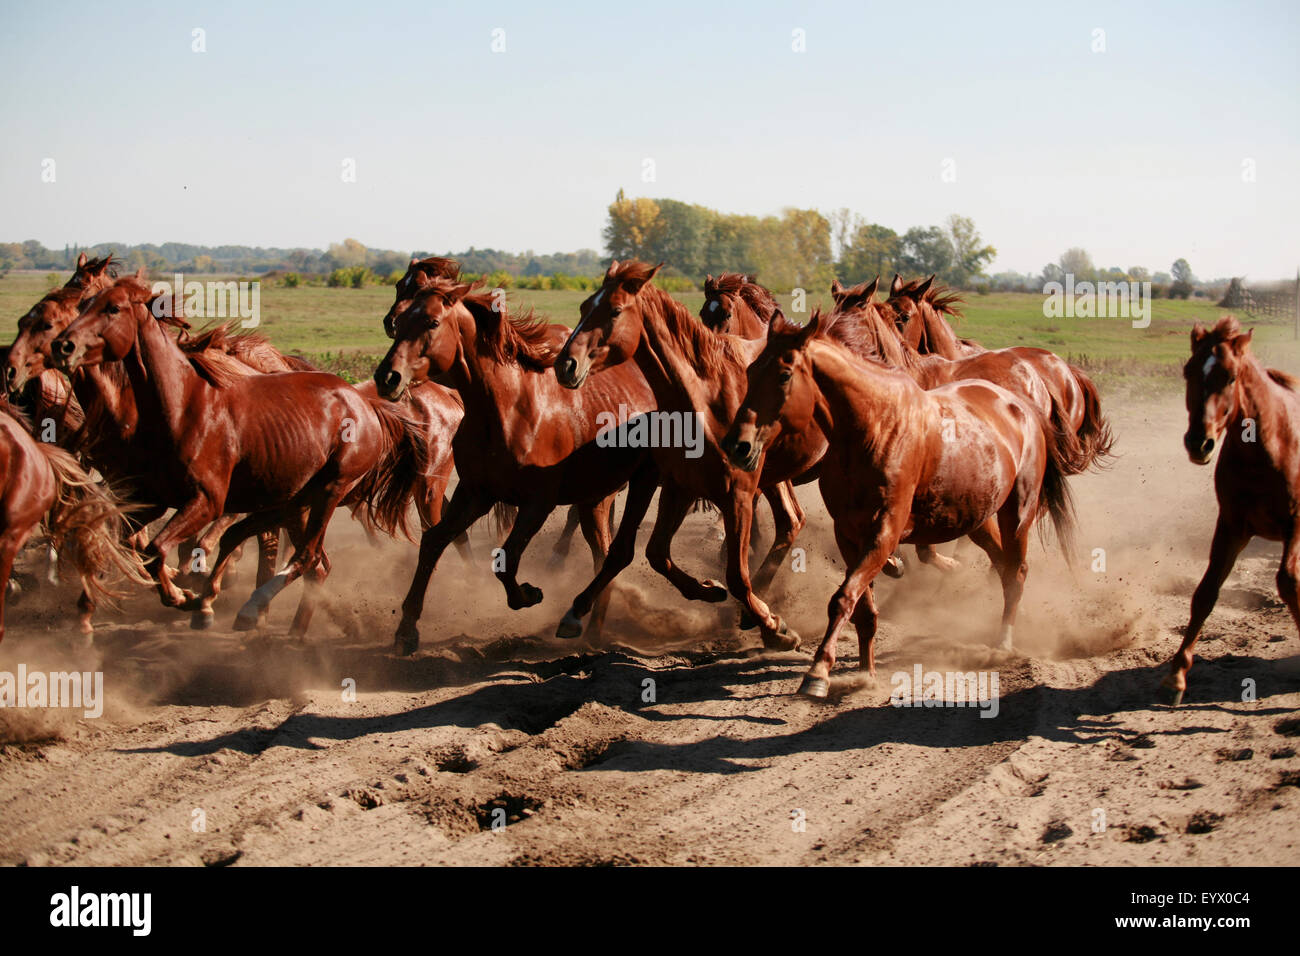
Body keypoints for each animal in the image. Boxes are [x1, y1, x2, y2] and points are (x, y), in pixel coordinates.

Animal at [50, 277, 426, 634]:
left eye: (113, 308)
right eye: (84, 304)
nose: (62, 345)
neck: (181, 406)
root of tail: (368, 406)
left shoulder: (206, 501)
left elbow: (155, 549)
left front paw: (185, 598)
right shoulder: (151, 498)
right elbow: (134, 544)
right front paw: (187, 595)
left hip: (330, 491)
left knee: (305, 557)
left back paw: (249, 609)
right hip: (294, 502)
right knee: (310, 562)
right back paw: (287, 630)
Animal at [377, 273, 660, 655]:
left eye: (432, 322)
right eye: (402, 318)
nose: (386, 377)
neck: (508, 406)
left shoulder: (537, 503)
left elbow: (507, 559)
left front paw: (528, 594)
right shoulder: (475, 494)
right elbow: (434, 542)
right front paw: (406, 629)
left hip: (641, 482)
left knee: (615, 553)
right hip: (597, 498)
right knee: (603, 555)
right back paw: (590, 628)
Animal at [722, 312, 1076, 697]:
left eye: (784, 374)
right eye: (751, 369)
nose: (736, 445)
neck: (874, 429)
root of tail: (1022, 405)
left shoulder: (884, 533)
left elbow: (843, 598)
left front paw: (818, 672)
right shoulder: (849, 535)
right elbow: (862, 609)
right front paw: (865, 671)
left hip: (1019, 511)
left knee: (1016, 571)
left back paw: (1003, 643)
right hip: (978, 519)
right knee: (1000, 564)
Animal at [1164, 317, 1300, 707]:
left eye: (1230, 376)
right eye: (1188, 370)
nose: (1199, 442)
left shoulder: (1295, 525)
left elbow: (1288, 581)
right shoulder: (1231, 526)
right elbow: (1205, 593)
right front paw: (1176, 676)